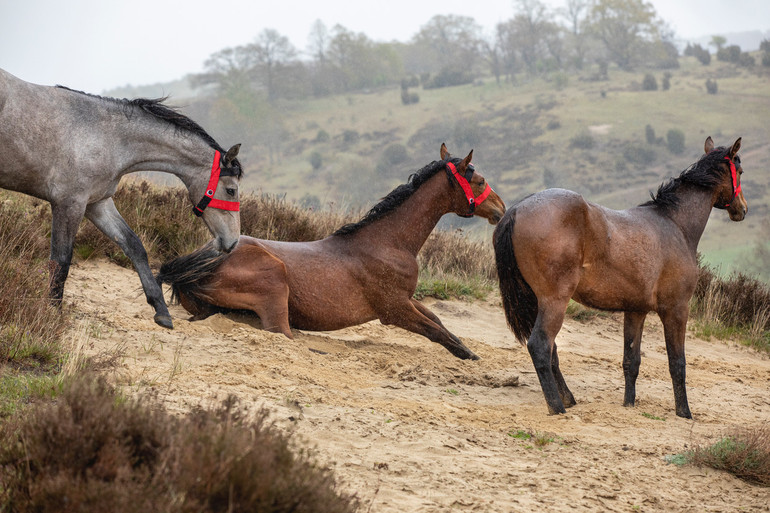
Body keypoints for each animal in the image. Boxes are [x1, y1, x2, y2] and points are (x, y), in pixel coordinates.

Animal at [0, 68, 240, 328]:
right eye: (231, 190)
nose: (234, 242)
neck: (106, 137)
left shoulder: (97, 204)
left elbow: (135, 246)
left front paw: (161, 310)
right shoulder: (69, 204)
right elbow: (61, 260)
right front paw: (52, 313)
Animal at [157, 144, 508, 358]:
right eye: (479, 180)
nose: (501, 208)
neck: (387, 244)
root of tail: (199, 264)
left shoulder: (406, 300)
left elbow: (440, 322)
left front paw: (469, 353)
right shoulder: (394, 309)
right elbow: (435, 330)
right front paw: (469, 357)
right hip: (275, 282)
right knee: (283, 335)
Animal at [492, 136, 744, 416]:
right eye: (740, 171)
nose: (742, 209)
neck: (674, 224)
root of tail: (516, 210)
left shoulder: (635, 311)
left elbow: (631, 361)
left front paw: (629, 404)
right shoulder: (676, 309)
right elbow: (677, 363)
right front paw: (684, 413)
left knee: (551, 350)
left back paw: (567, 398)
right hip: (554, 301)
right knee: (540, 346)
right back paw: (557, 406)